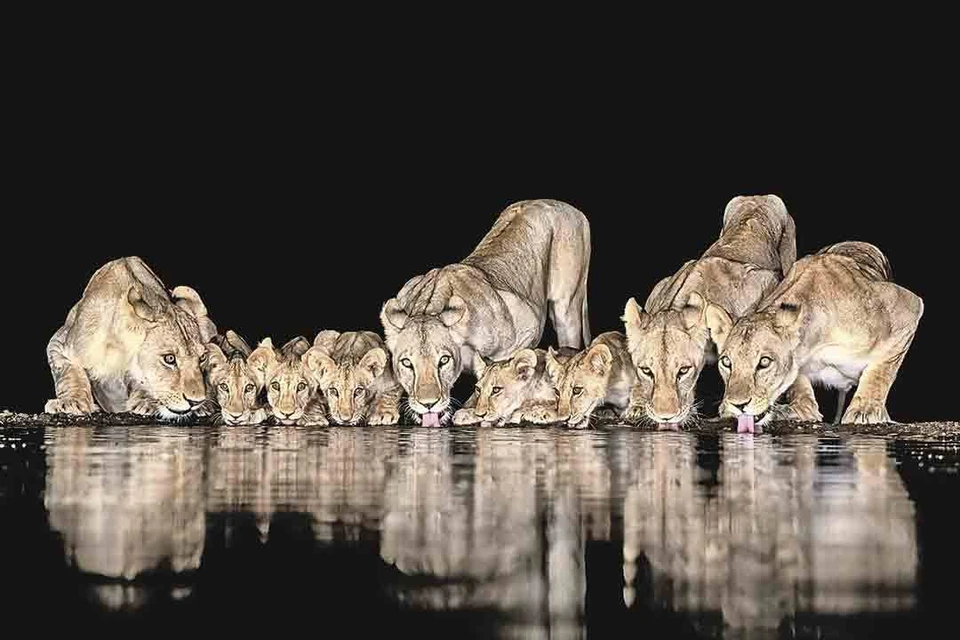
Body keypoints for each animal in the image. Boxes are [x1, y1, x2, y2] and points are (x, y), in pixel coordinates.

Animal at [45, 255, 218, 420]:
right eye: (169, 358)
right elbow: (68, 372)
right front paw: (70, 402)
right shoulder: (59, 341)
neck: (116, 345)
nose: (196, 401)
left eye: (202, 358)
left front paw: (146, 403)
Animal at [624, 192, 796, 428]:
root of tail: (757, 196)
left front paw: (730, 408)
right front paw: (637, 406)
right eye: (646, 371)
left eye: (683, 371)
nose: (665, 416)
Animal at [704, 240, 924, 430]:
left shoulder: (907, 308)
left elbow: (881, 370)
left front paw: (866, 409)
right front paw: (801, 408)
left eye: (764, 362)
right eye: (726, 362)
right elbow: (798, 383)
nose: (737, 405)